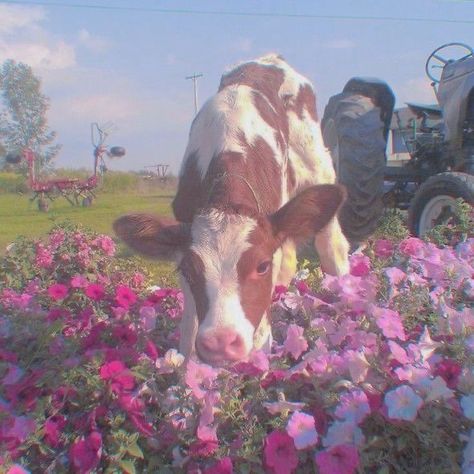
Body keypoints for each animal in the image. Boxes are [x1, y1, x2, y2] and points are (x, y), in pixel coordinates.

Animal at [113, 55, 350, 366]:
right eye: (188, 270)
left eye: (262, 266)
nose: (220, 343)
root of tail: (271, 58)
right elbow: (189, 328)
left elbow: (261, 335)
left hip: (316, 162)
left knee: (332, 245)